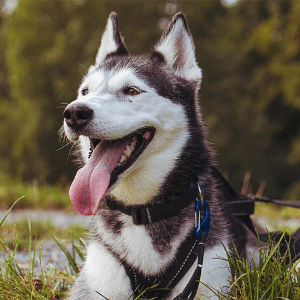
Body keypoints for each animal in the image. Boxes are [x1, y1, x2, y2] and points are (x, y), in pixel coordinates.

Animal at [62, 12, 255, 300]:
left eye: (131, 91)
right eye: (85, 91)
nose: (74, 112)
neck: (143, 211)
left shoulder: (210, 275)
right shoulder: (96, 282)